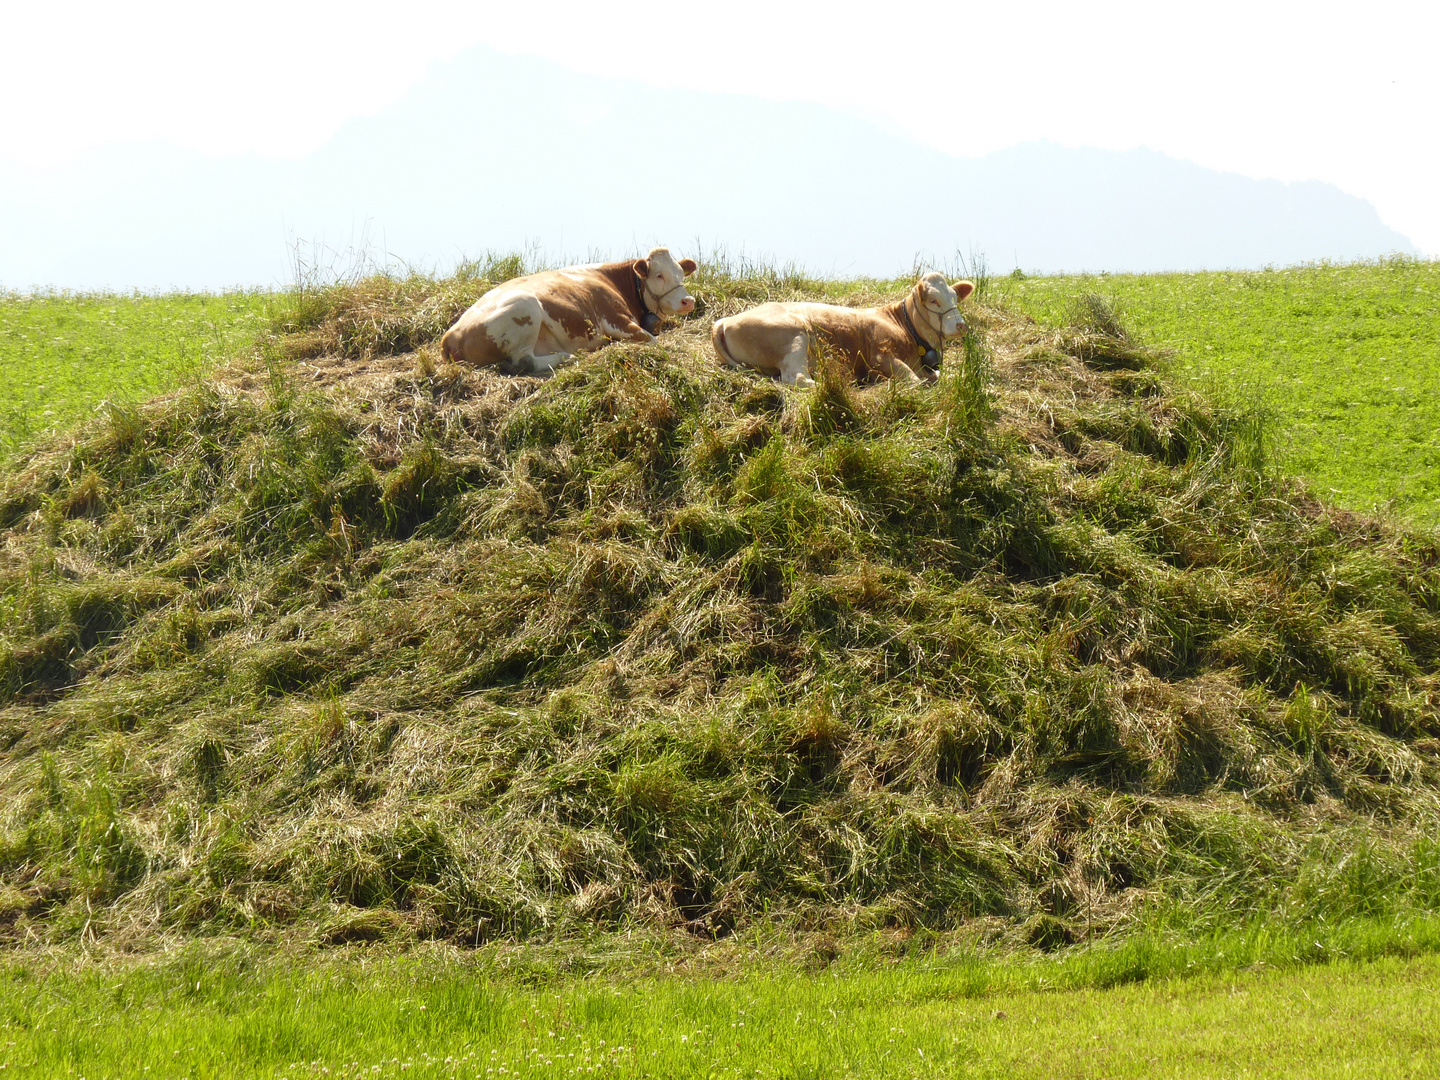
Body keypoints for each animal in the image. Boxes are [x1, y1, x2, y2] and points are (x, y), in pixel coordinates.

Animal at [440, 249, 699, 377]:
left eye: (681, 273)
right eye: (659, 275)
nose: (688, 301)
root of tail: (451, 334)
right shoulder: (616, 319)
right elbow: (653, 341)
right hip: (525, 306)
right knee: (525, 361)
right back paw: (567, 357)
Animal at [711, 275, 979, 388]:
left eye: (955, 297)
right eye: (934, 300)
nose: (961, 325)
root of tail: (725, 320)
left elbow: (943, 376)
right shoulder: (881, 356)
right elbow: (915, 382)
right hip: (795, 337)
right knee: (796, 378)